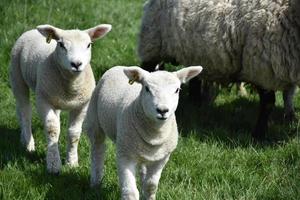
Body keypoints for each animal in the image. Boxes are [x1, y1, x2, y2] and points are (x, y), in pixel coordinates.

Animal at [10, 23, 112, 173]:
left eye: (89, 45)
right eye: (61, 44)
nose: (76, 64)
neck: (71, 87)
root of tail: (31, 31)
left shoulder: (82, 105)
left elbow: (74, 133)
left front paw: (72, 162)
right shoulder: (43, 100)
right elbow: (52, 129)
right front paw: (53, 164)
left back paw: (24, 139)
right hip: (17, 76)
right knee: (25, 112)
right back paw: (29, 144)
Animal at [84, 65, 202, 198]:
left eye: (177, 90)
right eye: (147, 88)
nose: (162, 110)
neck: (155, 133)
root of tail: (119, 66)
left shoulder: (161, 158)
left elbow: (151, 186)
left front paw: (148, 195)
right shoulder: (125, 154)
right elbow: (130, 191)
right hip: (94, 119)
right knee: (97, 150)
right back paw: (95, 183)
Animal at [138, 0, 300, 140]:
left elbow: (288, 94)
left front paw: (290, 118)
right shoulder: (261, 68)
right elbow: (268, 102)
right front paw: (259, 135)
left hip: (196, 53)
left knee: (195, 79)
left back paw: (196, 103)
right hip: (153, 42)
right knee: (148, 70)